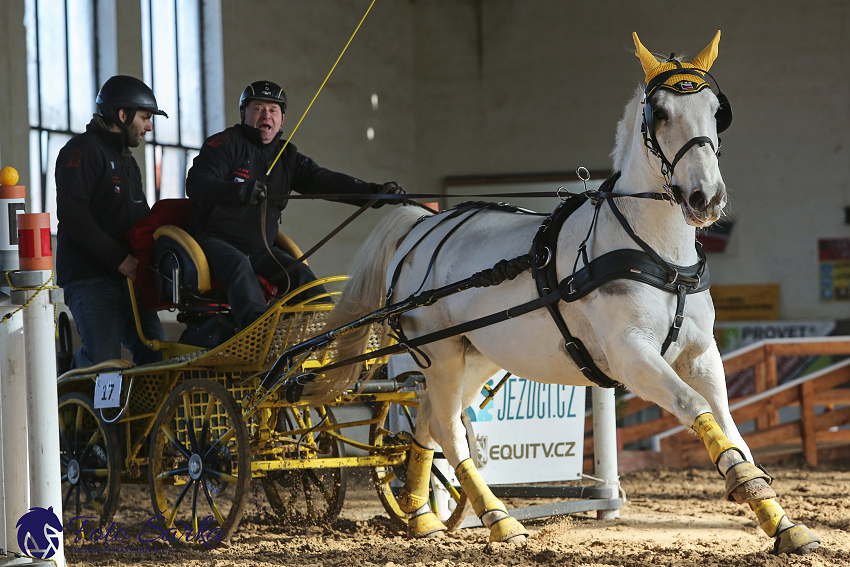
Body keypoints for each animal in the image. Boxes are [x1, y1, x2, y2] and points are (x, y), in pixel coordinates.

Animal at [306, 31, 820, 556]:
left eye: (718, 111)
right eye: (659, 113)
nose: (706, 198)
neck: (657, 255)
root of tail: (421, 227)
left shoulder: (701, 353)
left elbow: (732, 428)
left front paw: (780, 521)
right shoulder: (631, 356)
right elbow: (694, 406)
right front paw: (753, 492)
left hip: (477, 357)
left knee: (427, 422)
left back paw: (419, 513)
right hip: (443, 354)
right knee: (449, 430)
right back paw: (498, 520)